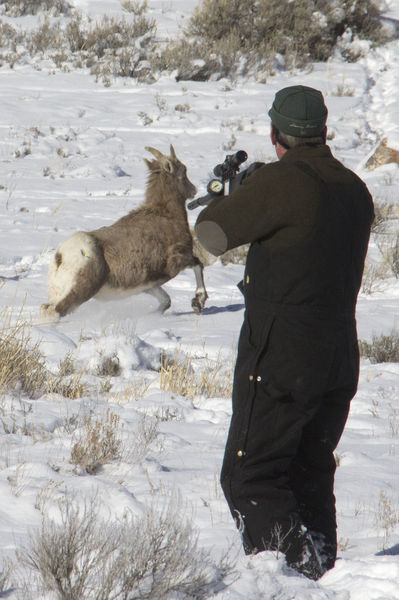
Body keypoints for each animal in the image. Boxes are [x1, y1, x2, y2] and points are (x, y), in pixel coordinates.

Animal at [40, 146, 209, 322]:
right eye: (184, 171)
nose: (194, 190)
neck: (167, 214)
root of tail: (61, 256)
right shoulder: (178, 261)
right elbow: (198, 264)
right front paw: (198, 302)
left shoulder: (149, 285)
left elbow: (165, 301)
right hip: (80, 291)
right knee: (55, 311)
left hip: (59, 292)